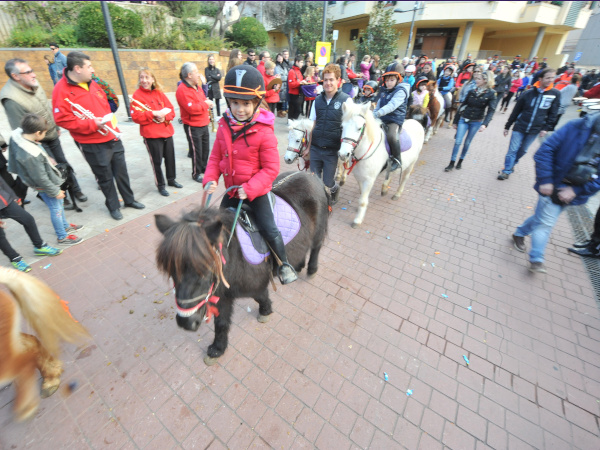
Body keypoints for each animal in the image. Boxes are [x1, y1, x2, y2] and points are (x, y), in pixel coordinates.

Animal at [155, 172, 330, 366]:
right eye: (171, 271)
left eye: (206, 270)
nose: (186, 323)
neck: (234, 255)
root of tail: (311, 175)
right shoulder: (222, 294)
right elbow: (221, 322)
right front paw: (218, 348)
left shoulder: (255, 284)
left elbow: (260, 296)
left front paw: (265, 311)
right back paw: (297, 267)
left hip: (318, 230)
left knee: (315, 247)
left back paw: (310, 269)